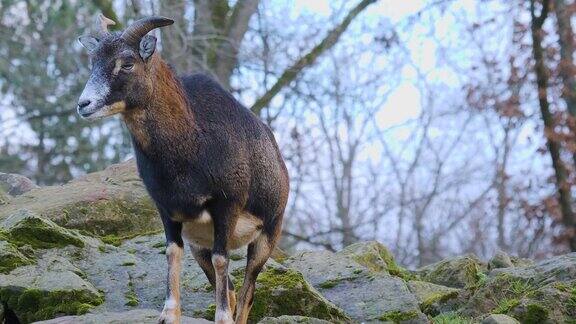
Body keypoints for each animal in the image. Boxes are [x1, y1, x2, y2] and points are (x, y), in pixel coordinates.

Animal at [77, 14, 288, 324]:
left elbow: (222, 259)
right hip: (200, 246)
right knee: (232, 289)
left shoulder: (226, 207)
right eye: (93, 62)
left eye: (127, 63)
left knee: (247, 292)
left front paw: (221, 318)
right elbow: (172, 253)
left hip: (266, 237)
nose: (84, 104)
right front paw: (168, 314)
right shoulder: (168, 212)